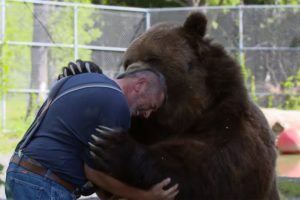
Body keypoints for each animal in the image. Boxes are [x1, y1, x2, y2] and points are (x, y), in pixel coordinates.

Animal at [87, 11, 278, 199]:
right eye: (127, 62)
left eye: (152, 58)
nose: (128, 75)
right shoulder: (145, 126)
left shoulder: (229, 130)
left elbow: (197, 171)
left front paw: (111, 144)